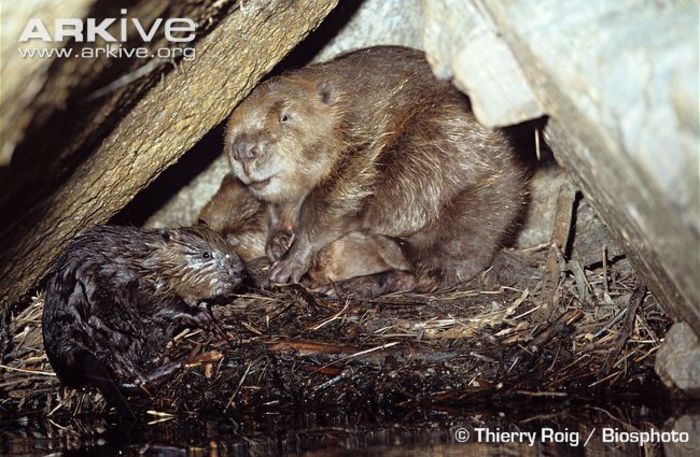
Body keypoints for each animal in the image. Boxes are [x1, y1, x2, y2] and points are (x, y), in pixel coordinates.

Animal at [41, 224, 245, 416]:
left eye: (226, 243)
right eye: (206, 254)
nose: (239, 271)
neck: (148, 261)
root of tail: (74, 355)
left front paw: (213, 321)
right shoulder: (143, 288)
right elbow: (163, 307)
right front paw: (203, 318)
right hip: (104, 333)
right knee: (135, 377)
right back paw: (181, 358)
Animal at [227, 44, 528, 290]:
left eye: (285, 116)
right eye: (230, 125)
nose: (243, 150)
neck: (341, 110)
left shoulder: (364, 141)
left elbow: (334, 202)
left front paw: (287, 263)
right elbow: (277, 206)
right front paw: (277, 241)